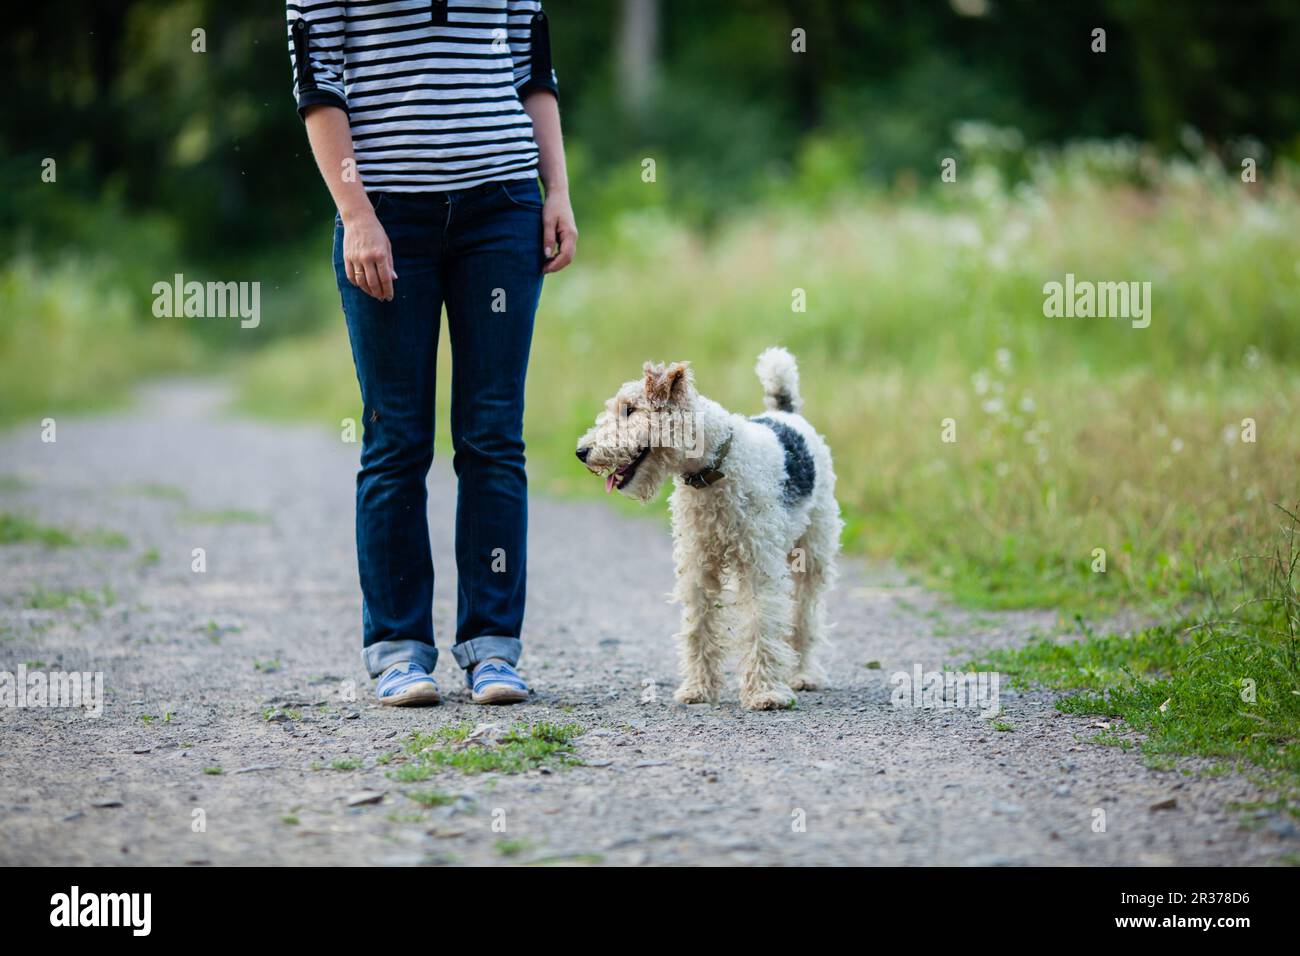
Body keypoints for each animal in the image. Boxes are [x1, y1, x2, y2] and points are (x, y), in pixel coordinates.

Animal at [579, 348, 842, 712]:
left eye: (629, 409)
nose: (581, 452)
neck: (713, 469)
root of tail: (786, 414)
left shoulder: (758, 564)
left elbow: (760, 623)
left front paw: (764, 693)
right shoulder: (697, 565)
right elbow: (698, 625)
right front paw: (698, 688)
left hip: (813, 552)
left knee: (805, 616)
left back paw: (803, 675)